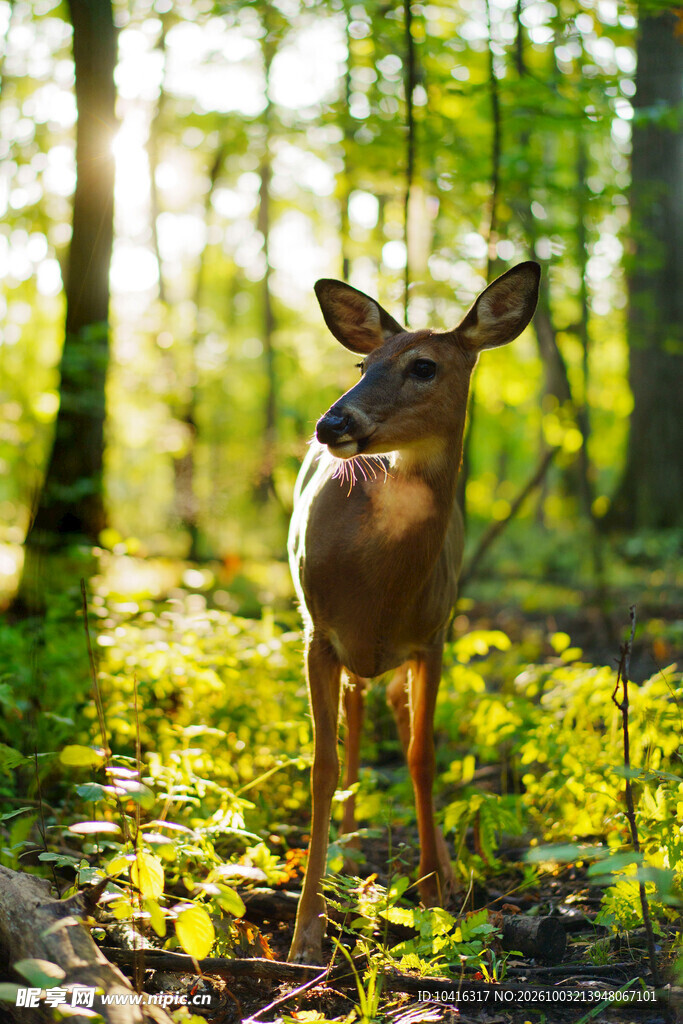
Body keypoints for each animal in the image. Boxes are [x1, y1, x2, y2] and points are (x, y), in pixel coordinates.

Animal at [287, 260, 541, 964]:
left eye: (423, 366)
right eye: (362, 363)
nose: (330, 424)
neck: (378, 585)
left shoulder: (433, 638)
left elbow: (423, 757)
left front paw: (432, 890)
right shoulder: (318, 633)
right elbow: (320, 767)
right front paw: (306, 931)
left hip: (410, 649)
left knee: (395, 719)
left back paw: (444, 872)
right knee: (354, 719)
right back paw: (348, 851)